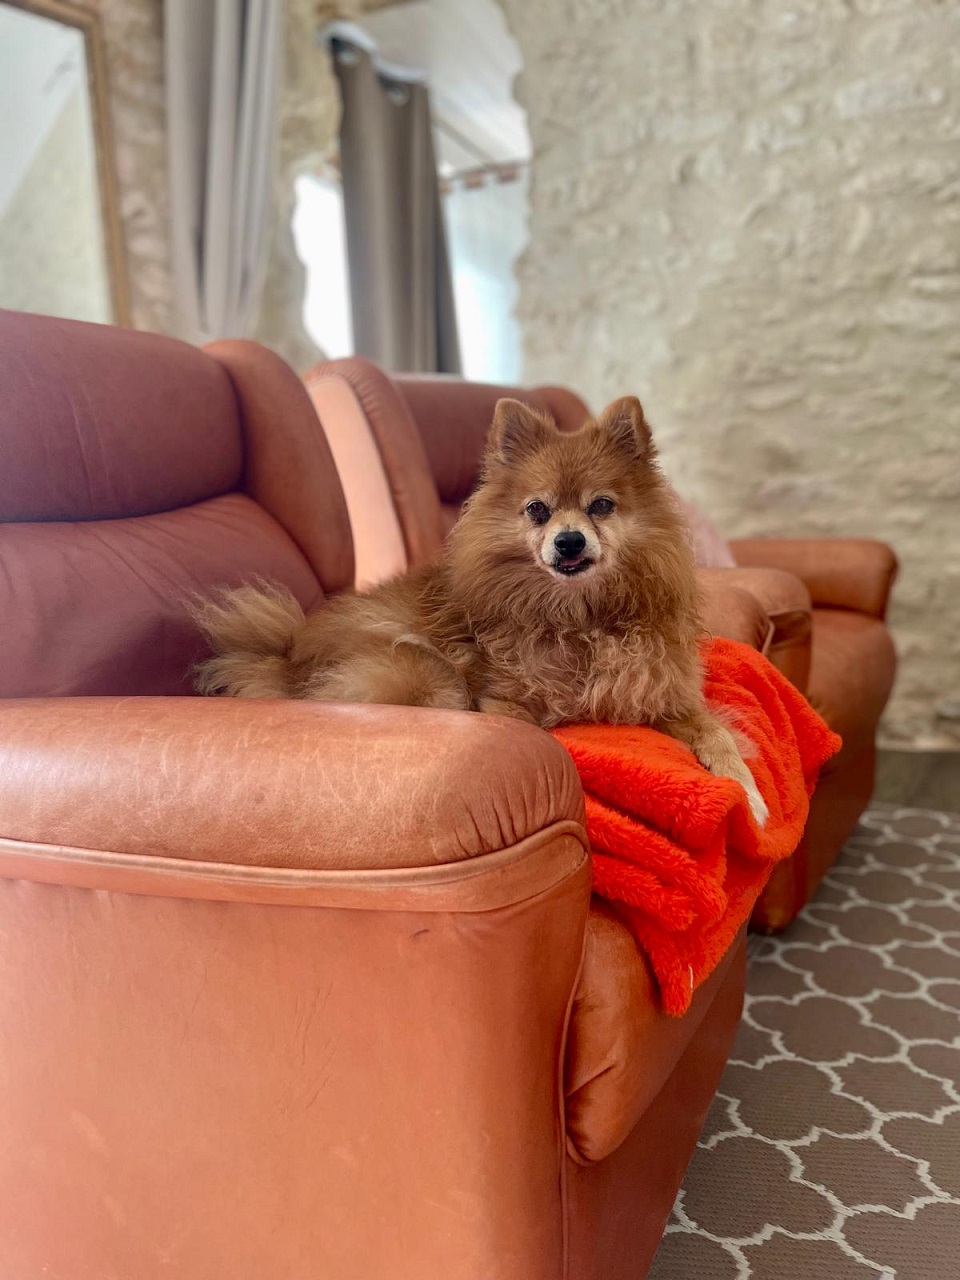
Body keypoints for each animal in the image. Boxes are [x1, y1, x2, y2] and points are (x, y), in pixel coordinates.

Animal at [192, 396, 767, 825]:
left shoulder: (665, 697)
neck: (580, 616)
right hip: (428, 672)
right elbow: (536, 734)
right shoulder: (505, 701)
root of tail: (282, 652)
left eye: (601, 505)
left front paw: (748, 793)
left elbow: (719, 736)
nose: (569, 540)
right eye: (538, 510)